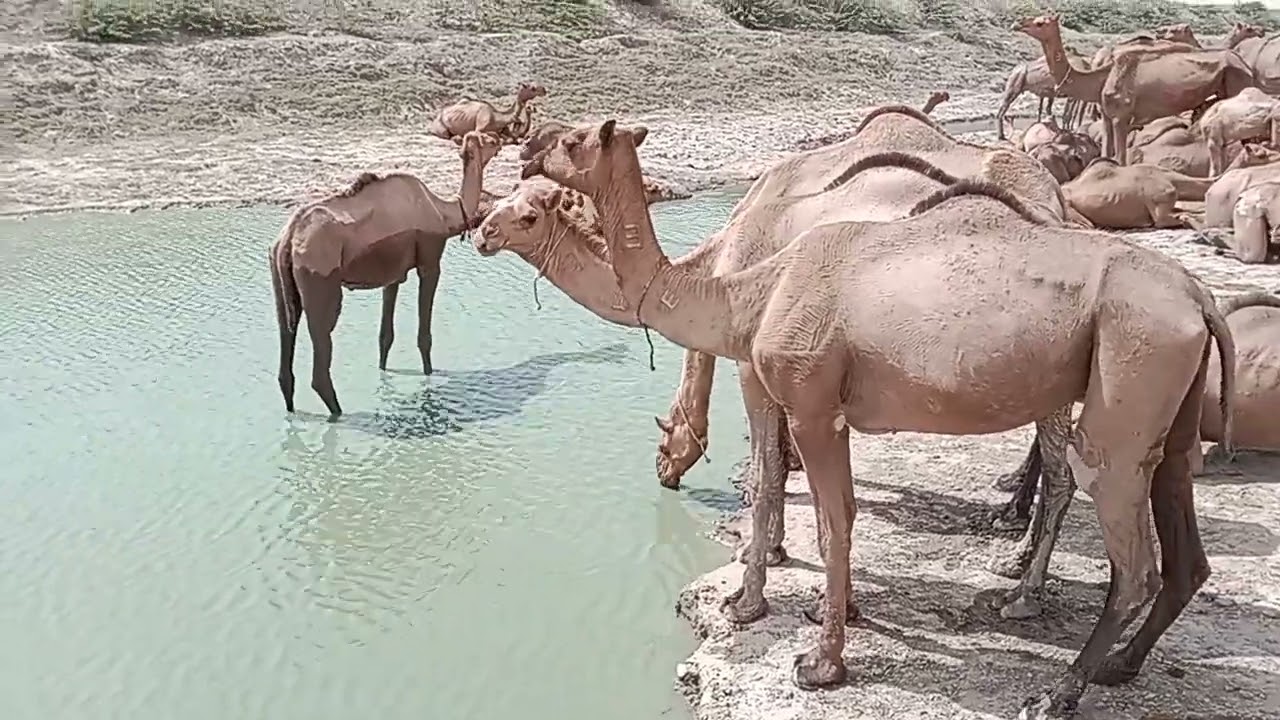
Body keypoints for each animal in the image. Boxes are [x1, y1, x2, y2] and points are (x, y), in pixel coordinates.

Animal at [269, 131, 503, 417]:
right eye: (486, 140)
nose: (499, 140)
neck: (443, 212)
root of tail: (289, 239)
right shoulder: (429, 261)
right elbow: (424, 334)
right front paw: (429, 377)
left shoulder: (393, 274)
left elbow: (385, 335)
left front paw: (384, 376)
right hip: (320, 275)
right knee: (321, 338)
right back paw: (339, 412)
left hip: (279, 275)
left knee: (286, 329)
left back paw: (292, 409)